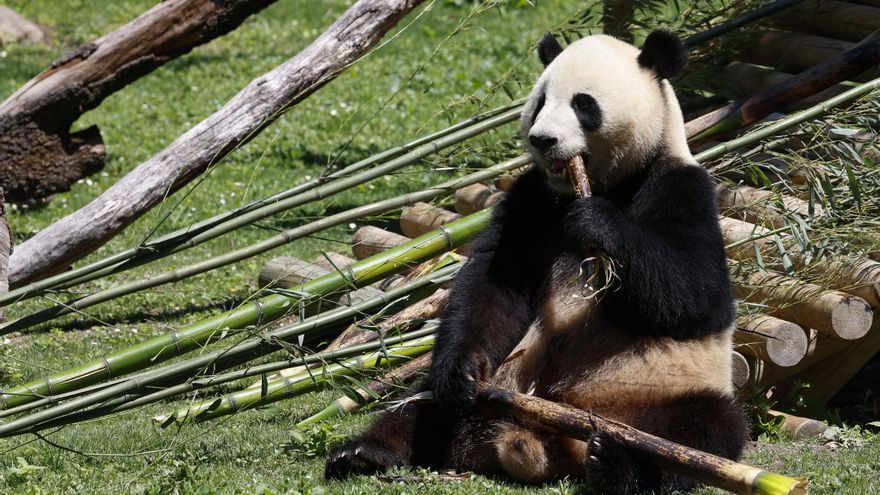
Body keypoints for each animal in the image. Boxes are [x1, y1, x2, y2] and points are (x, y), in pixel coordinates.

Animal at [325, 30, 748, 494]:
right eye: (541, 101)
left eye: (584, 104)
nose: (542, 139)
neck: (605, 183)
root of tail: (538, 441)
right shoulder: (529, 201)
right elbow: (493, 286)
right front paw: (463, 370)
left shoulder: (682, 187)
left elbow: (697, 296)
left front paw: (597, 222)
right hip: (497, 390)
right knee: (422, 407)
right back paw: (365, 452)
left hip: (666, 392)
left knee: (701, 430)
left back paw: (615, 462)